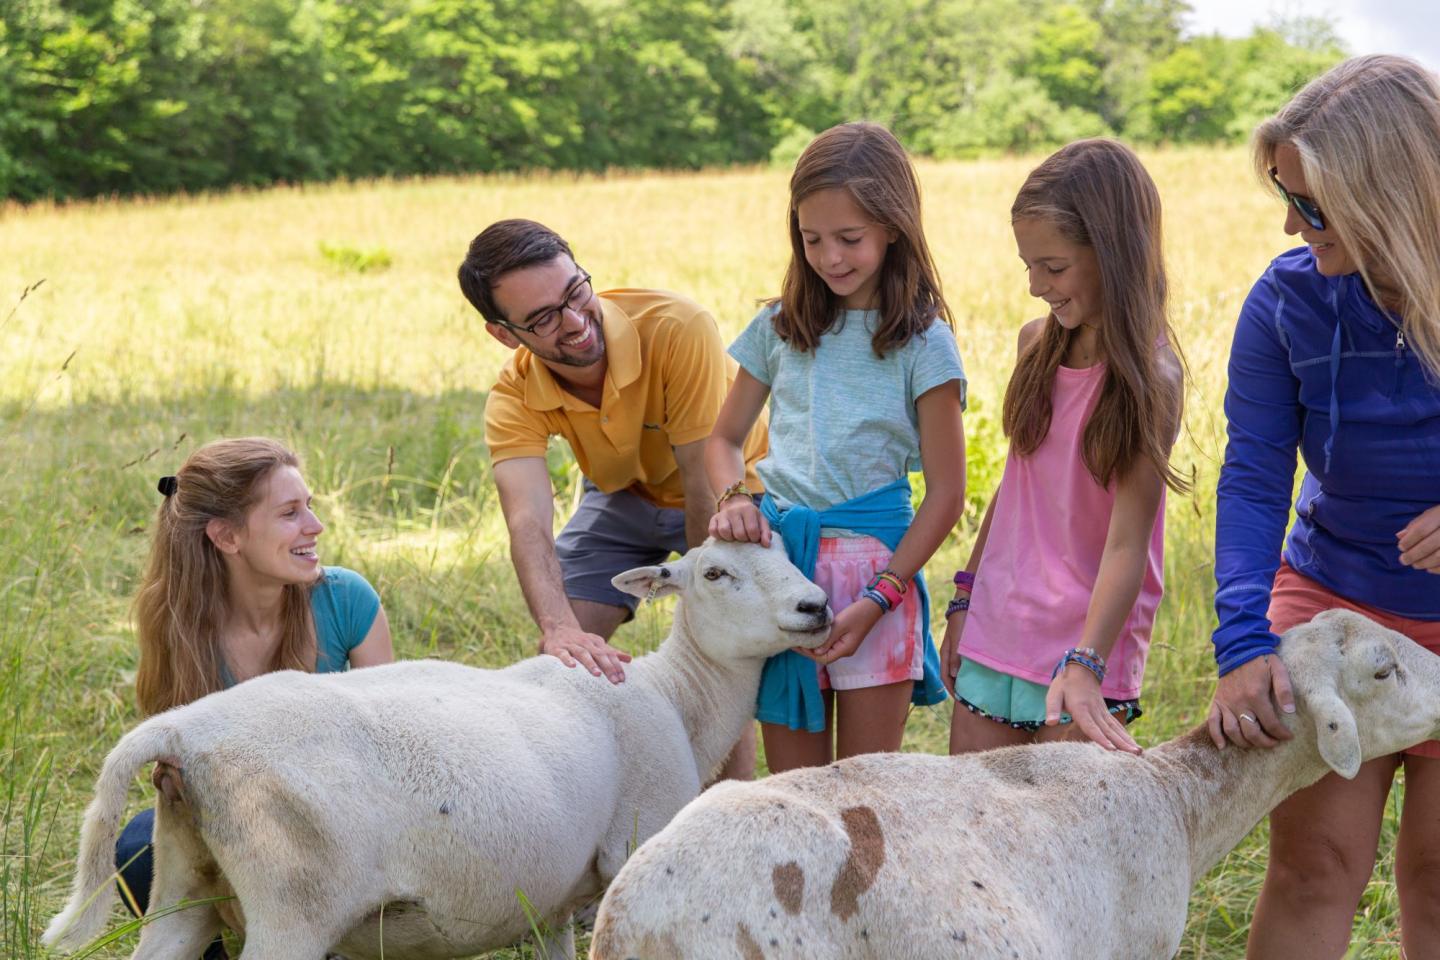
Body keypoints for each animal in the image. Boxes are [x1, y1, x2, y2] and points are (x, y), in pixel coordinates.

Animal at [42, 537, 831, 960]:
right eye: (715, 573)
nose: (816, 606)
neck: (678, 696)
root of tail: (186, 731)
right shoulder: (630, 853)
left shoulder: (553, 898)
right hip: (291, 899)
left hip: (186, 880)